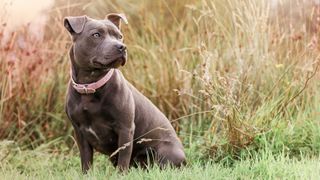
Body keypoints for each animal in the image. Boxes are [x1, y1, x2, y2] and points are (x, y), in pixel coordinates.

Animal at [63, 13, 186, 172]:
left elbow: (123, 159)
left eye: (120, 36)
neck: (90, 86)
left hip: (167, 152)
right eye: (96, 35)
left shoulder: (125, 129)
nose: (122, 47)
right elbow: (86, 161)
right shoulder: (80, 133)